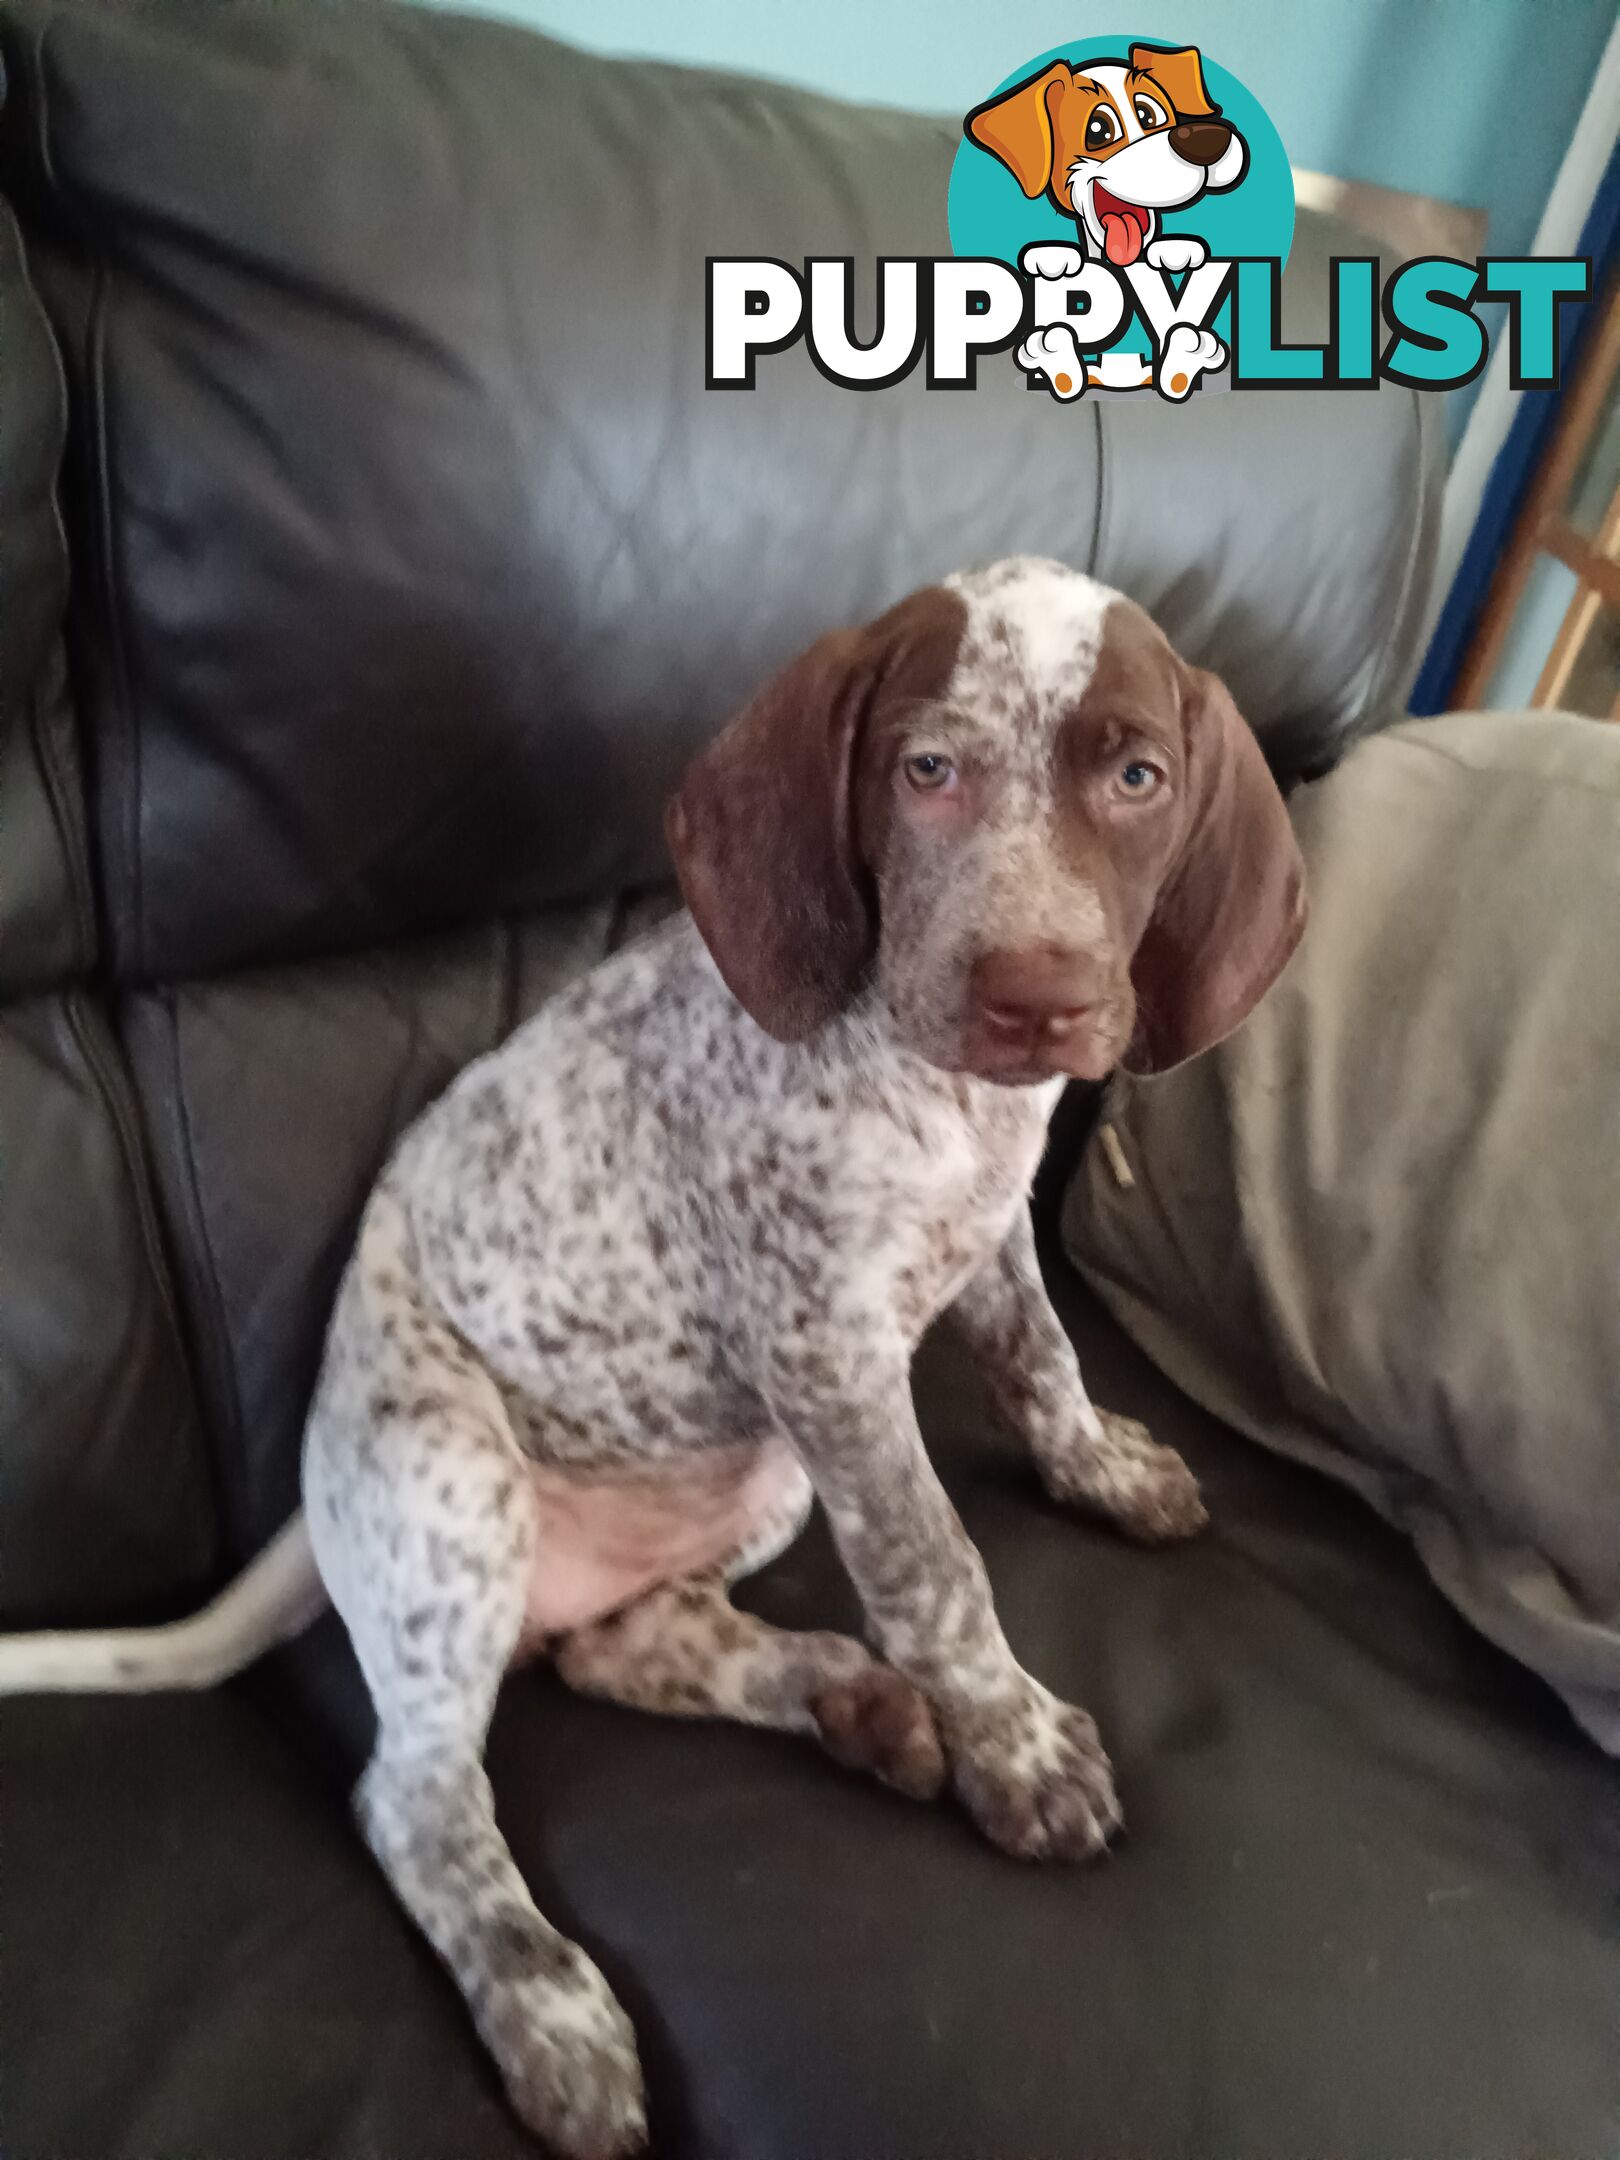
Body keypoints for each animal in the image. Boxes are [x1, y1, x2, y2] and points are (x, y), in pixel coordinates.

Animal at [0, 561, 1304, 2160]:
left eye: (1138, 779)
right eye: (927, 768)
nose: (1035, 997)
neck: (943, 1104)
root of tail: (316, 1506)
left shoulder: (990, 1244)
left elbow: (1046, 1362)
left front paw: (1101, 1468)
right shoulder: (828, 1353)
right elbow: (935, 1567)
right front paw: (1012, 1741)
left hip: (762, 1481)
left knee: (614, 1646)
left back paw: (852, 1700)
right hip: (461, 1491)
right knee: (417, 1800)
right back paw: (551, 2003)